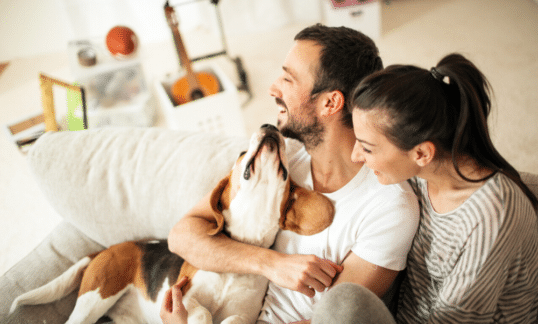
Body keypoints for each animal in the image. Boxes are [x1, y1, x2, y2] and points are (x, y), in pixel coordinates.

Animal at [10, 123, 332, 322]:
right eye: (242, 153)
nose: (270, 126)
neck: (241, 249)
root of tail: (108, 249)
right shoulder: (181, 294)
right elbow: (202, 311)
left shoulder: (244, 315)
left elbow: (232, 318)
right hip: (95, 298)